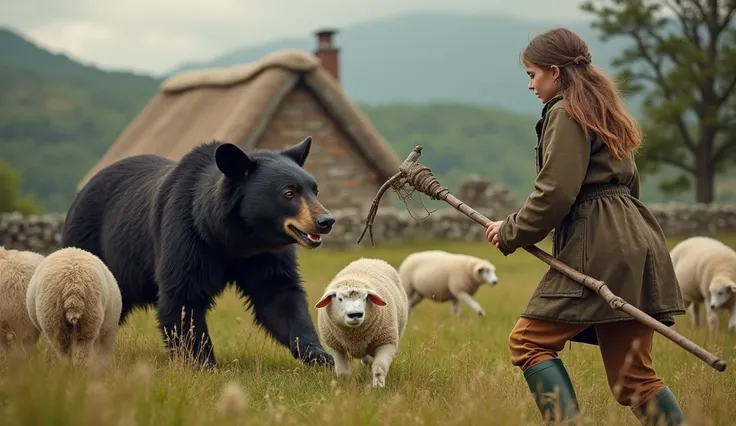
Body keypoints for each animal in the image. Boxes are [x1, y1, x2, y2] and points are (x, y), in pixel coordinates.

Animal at [61, 136, 336, 366]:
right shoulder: (187, 236)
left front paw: (319, 355)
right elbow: (183, 297)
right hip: (90, 247)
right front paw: (203, 363)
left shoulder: (265, 255)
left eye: (315, 189)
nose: (326, 221)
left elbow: (279, 294)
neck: (237, 239)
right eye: (289, 193)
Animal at [314, 258, 412, 388]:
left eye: (365, 298)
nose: (355, 314)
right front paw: (344, 387)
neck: (355, 337)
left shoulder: (387, 342)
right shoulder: (336, 347)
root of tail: (370, 259)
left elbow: (379, 368)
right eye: (339, 299)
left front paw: (378, 387)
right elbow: (342, 372)